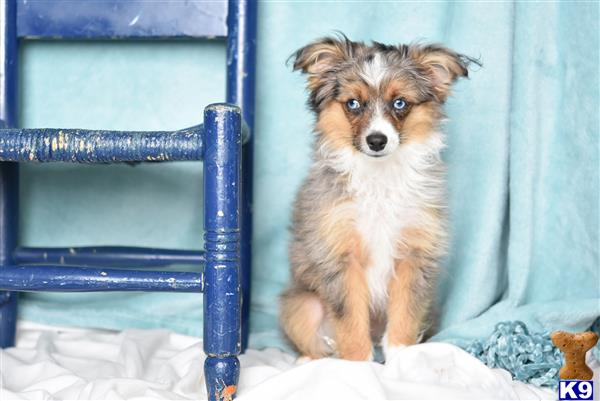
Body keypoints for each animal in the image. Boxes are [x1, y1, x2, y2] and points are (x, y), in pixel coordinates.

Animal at [278, 34, 476, 360]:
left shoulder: (414, 255)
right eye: (353, 104)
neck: (380, 178)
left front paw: (402, 360)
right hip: (301, 307)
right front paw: (360, 364)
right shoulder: (342, 259)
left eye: (400, 103)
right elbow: (350, 322)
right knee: (318, 344)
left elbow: (404, 316)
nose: (376, 141)